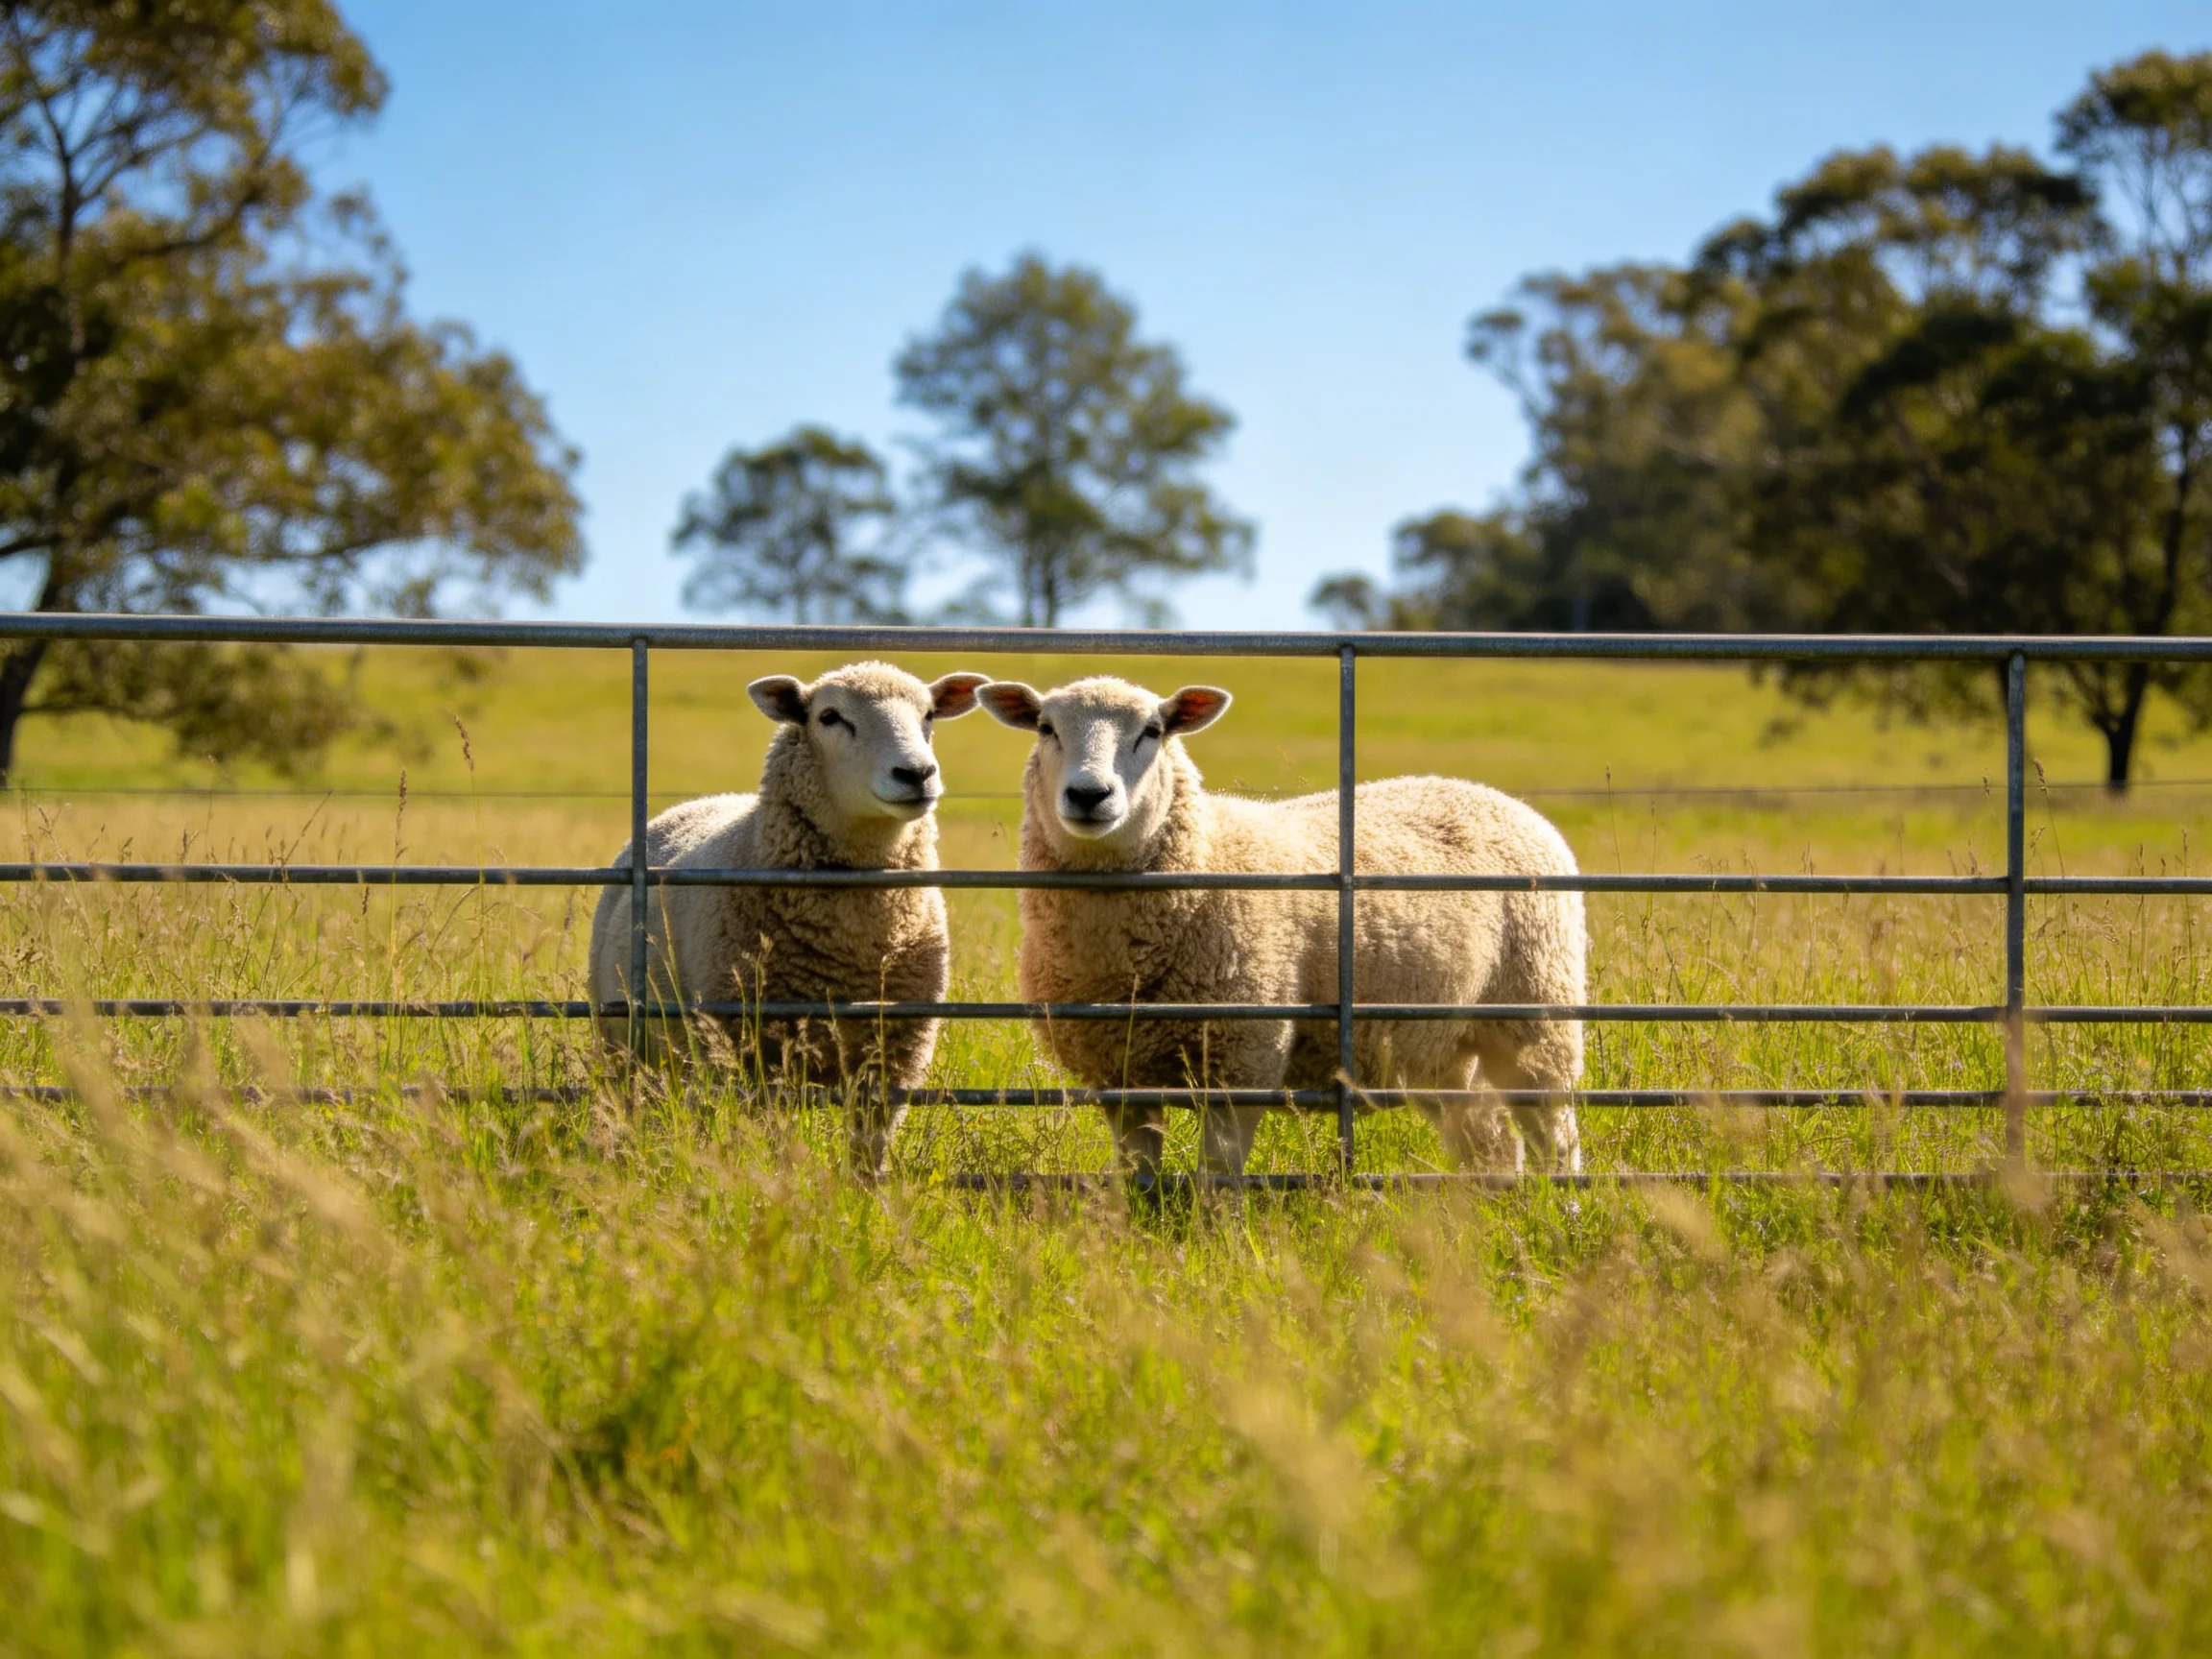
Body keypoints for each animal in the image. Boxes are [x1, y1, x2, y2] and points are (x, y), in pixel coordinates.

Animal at [589, 660, 989, 1174]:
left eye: (930, 714)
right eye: (830, 717)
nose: (917, 773)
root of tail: (695, 802)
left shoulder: (892, 1055)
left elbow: (870, 1146)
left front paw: (863, 1190)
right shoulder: (757, 1051)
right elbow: (772, 1138)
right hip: (629, 1045)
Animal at [976, 674, 1585, 1176]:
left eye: (1153, 731)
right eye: (1046, 728)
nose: (1089, 794)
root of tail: (1506, 801)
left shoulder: (1244, 1058)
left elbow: (1218, 1177)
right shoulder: (1119, 1076)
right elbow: (1137, 1174)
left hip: (1534, 1014)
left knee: (1554, 1134)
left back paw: (1558, 1207)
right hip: (1442, 1044)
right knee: (1489, 1141)